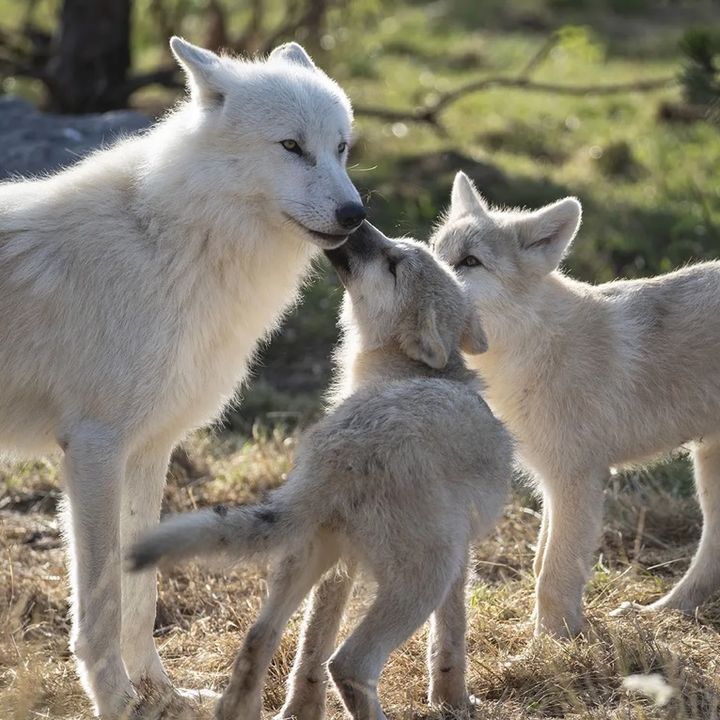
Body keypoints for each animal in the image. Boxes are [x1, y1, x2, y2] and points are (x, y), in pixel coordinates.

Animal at [0, 37, 364, 717]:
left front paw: (161, 692)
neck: (171, 242)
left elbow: (140, 597)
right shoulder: (94, 449)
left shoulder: (148, 451)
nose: (355, 213)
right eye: (291, 146)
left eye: (341, 148)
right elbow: (101, 601)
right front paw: (117, 701)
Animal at [129, 221, 512, 720]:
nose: (360, 219)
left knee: (259, 640)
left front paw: (302, 710)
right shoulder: (459, 562)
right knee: (349, 662)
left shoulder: (343, 569)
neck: (407, 374)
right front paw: (454, 703)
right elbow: (450, 641)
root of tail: (340, 452)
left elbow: (311, 648)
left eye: (393, 261)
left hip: (310, 558)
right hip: (425, 576)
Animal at [433, 171, 720, 638]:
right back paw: (661, 613)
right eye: (435, 249)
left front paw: (546, 645)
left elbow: (553, 574)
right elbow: (538, 564)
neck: (535, 348)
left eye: (470, 262)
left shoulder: (576, 480)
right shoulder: (552, 484)